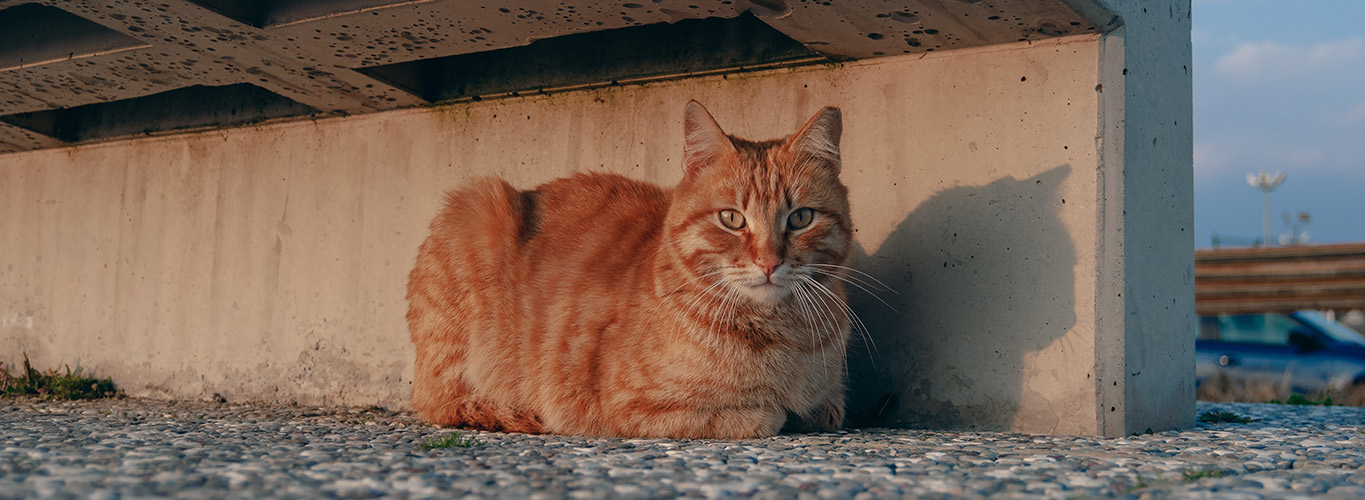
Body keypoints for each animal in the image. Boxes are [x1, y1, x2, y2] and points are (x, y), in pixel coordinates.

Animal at [406, 101, 851, 437]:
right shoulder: (624, 405)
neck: (785, 339)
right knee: (440, 403)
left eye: (801, 218)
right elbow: (765, 416)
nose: (769, 261)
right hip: (479, 204)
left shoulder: (831, 403)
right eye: (732, 219)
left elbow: (826, 409)